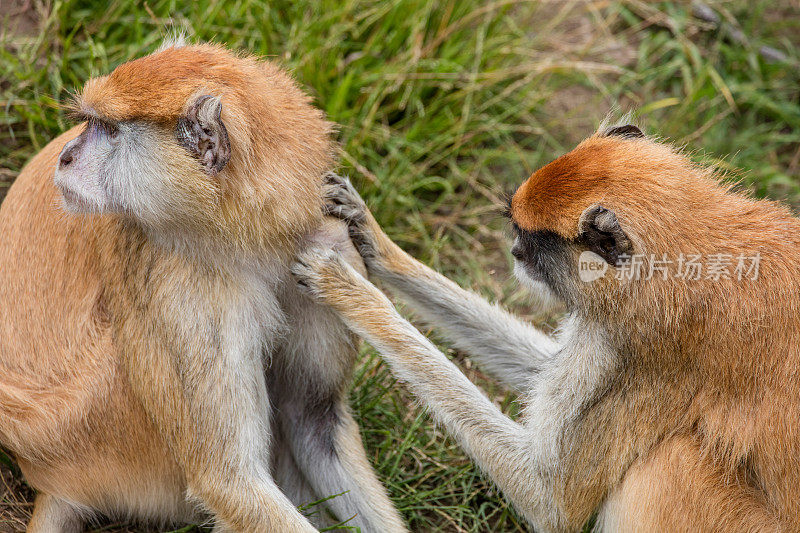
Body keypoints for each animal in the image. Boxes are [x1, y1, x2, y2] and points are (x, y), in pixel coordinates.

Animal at [0, 39, 404, 528]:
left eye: (109, 130)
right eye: (94, 123)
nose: (65, 156)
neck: (246, 239)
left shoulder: (326, 243)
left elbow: (314, 418)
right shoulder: (182, 291)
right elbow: (229, 481)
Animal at [294, 127, 800, 528]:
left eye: (533, 241)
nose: (516, 252)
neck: (692, 248)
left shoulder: (642, 353)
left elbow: (550, 501)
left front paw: (354, 294)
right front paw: (373, 239)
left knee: (665, 464)